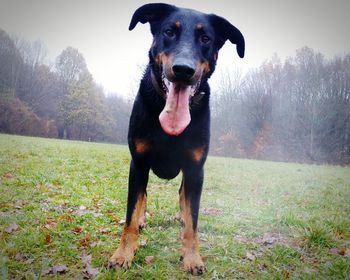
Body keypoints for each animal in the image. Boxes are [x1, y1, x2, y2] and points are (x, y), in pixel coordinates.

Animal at [108, 3, 243, 274]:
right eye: (169, 31)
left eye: (205, 38)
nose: (183, 70)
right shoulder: (138, 164)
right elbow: (131, 213)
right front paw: (124, 252)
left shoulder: (195, 169)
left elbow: (193, 221)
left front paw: (192, 257)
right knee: (143, 198)